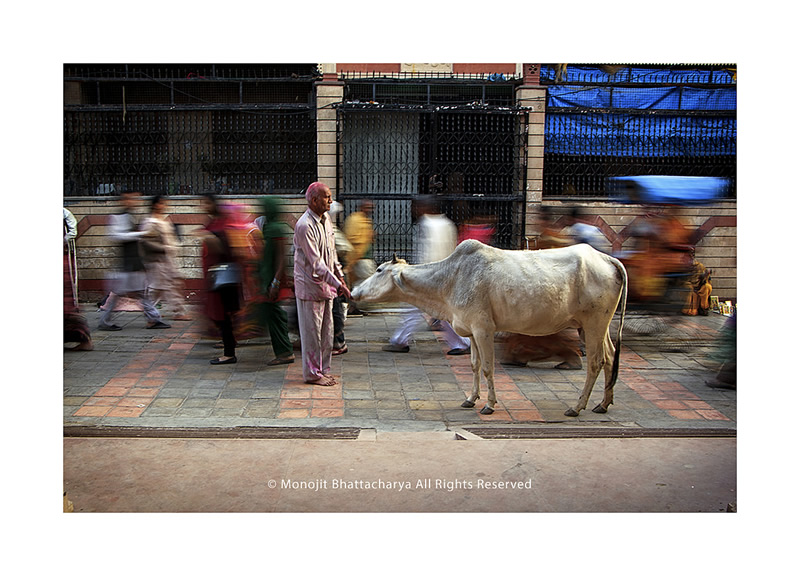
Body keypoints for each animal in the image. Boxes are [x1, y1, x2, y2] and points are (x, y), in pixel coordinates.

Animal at [354, 241, 628, 416]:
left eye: (379, 270)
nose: (354, 291)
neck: (450, 280)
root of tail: (607, 258)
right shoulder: (471, 330)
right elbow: (474, 365)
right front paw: (470, 399)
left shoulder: (483, 328)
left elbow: (487, 367)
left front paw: (489, 404)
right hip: (595, 326)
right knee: (610, 356)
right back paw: (604, 403)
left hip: (594, 323)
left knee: (596, 362)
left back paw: (577, 407)